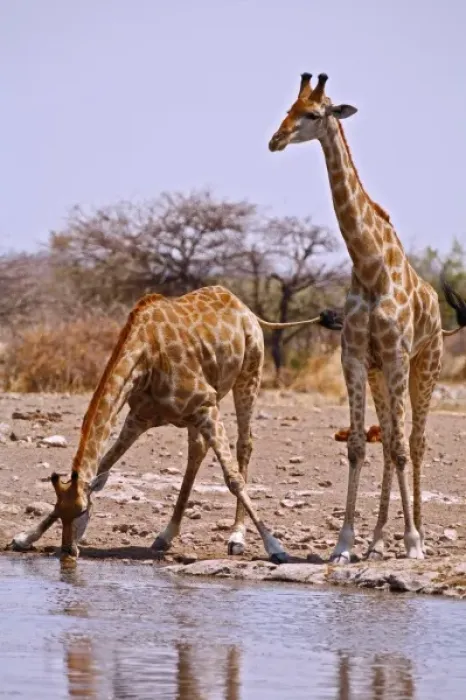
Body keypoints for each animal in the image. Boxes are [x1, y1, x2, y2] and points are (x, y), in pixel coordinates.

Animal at [10, 285, 341, 561]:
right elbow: (102, 471)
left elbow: (233, 478)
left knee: (244, 444)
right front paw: (25, 537)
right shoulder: (139, 417)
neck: (146, 355)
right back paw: (166, 535)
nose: (67, 551)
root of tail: (247, 310)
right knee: (197, 451)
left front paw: (275, 546)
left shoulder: (205, 405)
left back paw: (236, 537)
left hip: (248, 376)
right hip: (202, 407)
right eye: (58, 510)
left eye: (80, 510)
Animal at [269, 72, 466, 562]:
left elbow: (400, 446)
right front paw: (345, 544)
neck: (370, 264)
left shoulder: (396, 357)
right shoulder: (355, 357)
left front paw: (412, 542)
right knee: (389, 439)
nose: (275, 139)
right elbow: (360, 445)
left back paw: (419, 536)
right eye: (288, 109)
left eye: (312, 114)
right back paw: (377, 540)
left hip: (425, 366)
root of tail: (440, 316)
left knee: (413, 442)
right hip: (380, 373)